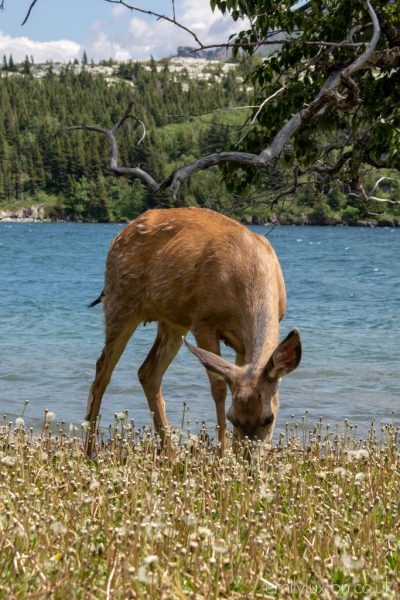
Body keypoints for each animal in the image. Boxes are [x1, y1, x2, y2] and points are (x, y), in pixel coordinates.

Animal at [86, 207, 300, 454]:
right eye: (232, 417)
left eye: (269, 418)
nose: (248, 458)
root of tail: (120, 235)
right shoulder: (203, 321)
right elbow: (218, 388)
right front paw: (222, 453)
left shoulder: (246, 341)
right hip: (120, 300)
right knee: (102, 371)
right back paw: (90, 450)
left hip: (172, 321)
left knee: (148, 372)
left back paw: (169, 452)